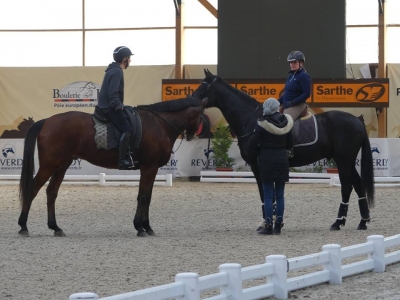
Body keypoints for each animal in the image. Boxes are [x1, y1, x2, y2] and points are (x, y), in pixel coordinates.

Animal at [18, 96, 206, 237]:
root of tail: (47, 121)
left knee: (51, 192)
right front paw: (141, 227)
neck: (159, 124)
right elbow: (143, 197)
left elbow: (147, 196)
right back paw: (23, 226)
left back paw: (55, 228)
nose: (193, 135)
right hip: (50, 165)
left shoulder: (149, 169)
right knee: (32, 189)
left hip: (61, 166)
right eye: (202, 115)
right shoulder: (149, 167)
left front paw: (146, 227)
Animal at [194, 69, 376, 231]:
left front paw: (267, 222)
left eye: (203, 87)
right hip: (347, 161)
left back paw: (338, 223)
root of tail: (357, 120)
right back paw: (363, 222)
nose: (191, 101)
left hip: (343, 160)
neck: (252, 120)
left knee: (346, 186)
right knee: (358, 184)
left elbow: (264, 193)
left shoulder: (257, 165)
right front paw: (274, 221)